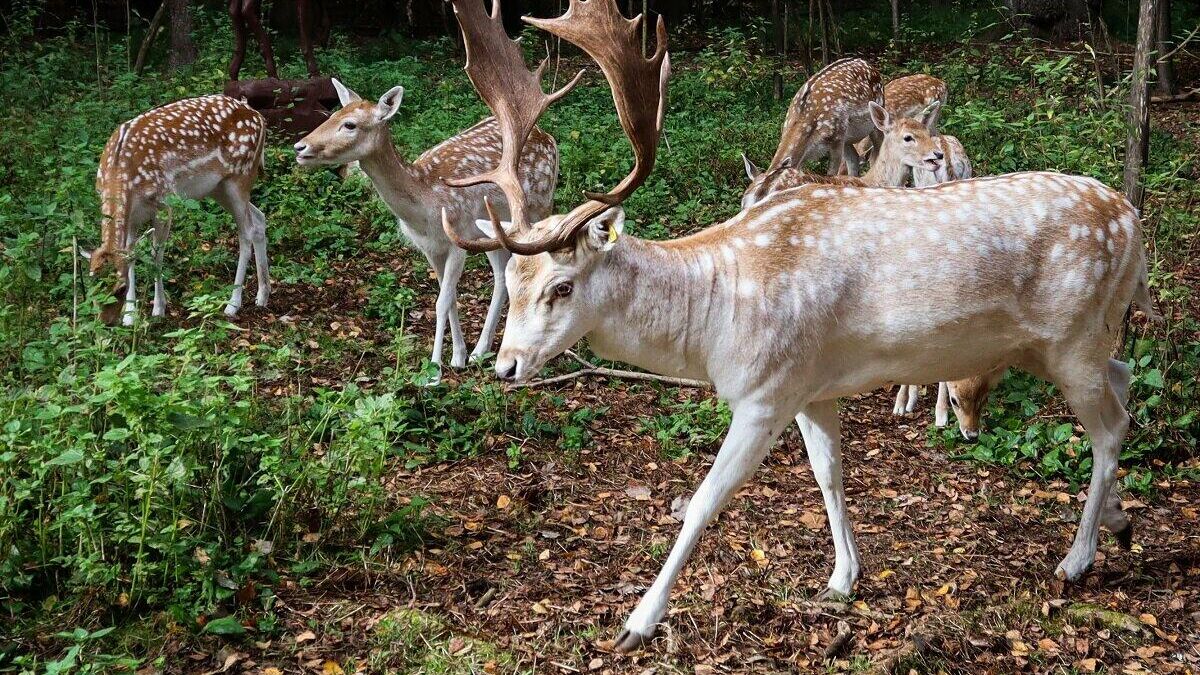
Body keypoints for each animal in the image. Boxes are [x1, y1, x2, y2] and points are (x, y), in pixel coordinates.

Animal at [87, 94, 270, 324]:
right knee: (259, 219)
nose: (106, 322)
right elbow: (131, 254)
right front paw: (130, 316)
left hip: (241, 176)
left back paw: (232, 304)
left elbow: (156, 254)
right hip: (218, 188)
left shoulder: (164, 202)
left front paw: (158, 309)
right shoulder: (132, 216)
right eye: (91, 287)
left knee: (246, 232)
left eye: (120, 288)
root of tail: (258, 116)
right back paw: (263, 295)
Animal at [290, 17, 571, 379]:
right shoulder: (429, 247)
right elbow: (447, 298)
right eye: (331, 115)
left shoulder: (458, 238)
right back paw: (481, 351)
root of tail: (547, 136)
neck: (422, 210)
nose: (300, 146)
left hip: (538, 204)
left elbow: (442, 300)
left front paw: (435, 369)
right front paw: (458, 356)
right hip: (495, 228)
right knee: (501, 274)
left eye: (349, 124)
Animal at [446, 0, 1156, 653]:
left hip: (1073, 339)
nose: (506, 365)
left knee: (1111, 425)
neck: (715, 321)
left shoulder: (766, 391)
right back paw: (1120, 521)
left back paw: (1077, 558)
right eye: (514, 282)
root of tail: (1133, 223)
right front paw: (843, 578)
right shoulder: (812, 387)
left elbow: (704, 500)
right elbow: (828, 476)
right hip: (1063, 343)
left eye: (562, 287)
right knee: (1123, 379)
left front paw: (637, 622)